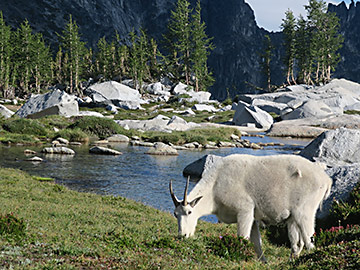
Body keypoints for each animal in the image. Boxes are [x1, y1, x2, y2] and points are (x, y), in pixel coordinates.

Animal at [170, 154, 334, 262]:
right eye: (175, 214)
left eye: (189, 212)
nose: (182, 235)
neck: (215, 186)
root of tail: (326, 180)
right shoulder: (253, 217)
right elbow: (257, 243)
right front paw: (263, 262)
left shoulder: (244, 210)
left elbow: (243, 237)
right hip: (293, 218)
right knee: (297, 243)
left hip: (304, 211)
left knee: (309, 241)